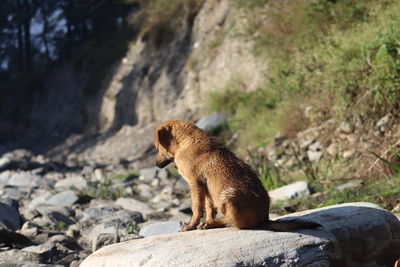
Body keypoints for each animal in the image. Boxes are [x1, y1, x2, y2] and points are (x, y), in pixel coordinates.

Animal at [155, 120, 320, 231]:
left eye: (157, 147)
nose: (156, 164)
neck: (188, 142)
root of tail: (264, 220)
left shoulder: (195, 185)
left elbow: (196, 208)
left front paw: (190, 225)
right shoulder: (206, 188)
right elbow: (209, 208)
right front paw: (204, 220)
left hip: (228, 195)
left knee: (234, 223)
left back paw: (214, 223)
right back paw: (210, 223)